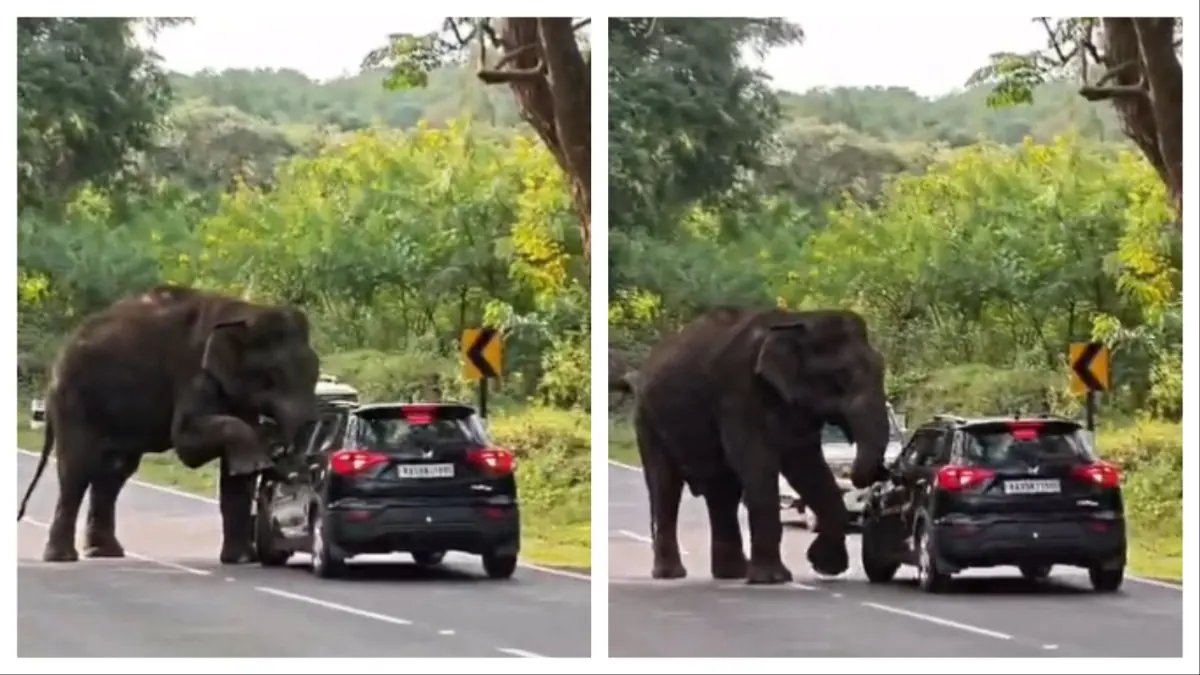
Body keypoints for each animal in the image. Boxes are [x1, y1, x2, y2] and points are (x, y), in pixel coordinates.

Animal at [16, 285, 321, 564]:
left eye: (316, 373)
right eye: (272, 377)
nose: (285, 455)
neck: (244, 311)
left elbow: (237, 477)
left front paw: (242, 560)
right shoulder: (194, 373)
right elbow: (187, 443)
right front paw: (260, 454)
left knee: (113, 473)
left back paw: (104, 552)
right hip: (75, 401)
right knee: (77, 470)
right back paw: (62, 558)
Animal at [631, 306, 891, 584]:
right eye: (840, 378)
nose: (884, 471)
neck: (798, 321)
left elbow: (808, 468)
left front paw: (824, 565)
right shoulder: (738, 393)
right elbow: (758, 463)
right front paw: (774, 578)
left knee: (722, 490)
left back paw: (732, 573)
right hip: (647, 420)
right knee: (665, 486)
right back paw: (670, 574)